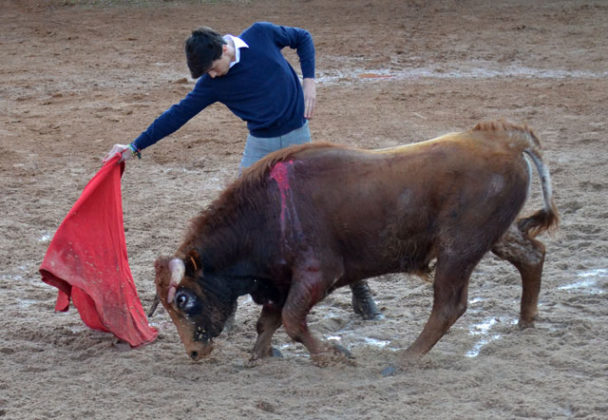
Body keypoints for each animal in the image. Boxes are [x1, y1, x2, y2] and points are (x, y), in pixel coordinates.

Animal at [154, 120, 560, 366]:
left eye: (183, 299)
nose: (193, 351)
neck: (268, 211)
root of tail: (504, 139)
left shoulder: (317, 274)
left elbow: (291, 319)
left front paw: (333, 355)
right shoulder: (280, 280)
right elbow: (269, 319)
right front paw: (259, 354)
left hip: (458, 249)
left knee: (449, 306)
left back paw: (406, 358)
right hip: (494, 235)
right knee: (531, 255)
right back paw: (525, 321)